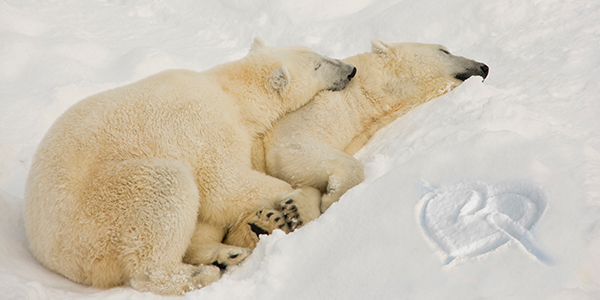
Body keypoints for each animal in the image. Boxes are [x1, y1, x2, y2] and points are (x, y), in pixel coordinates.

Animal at [25, 38, 356, 296]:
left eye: (316, 52)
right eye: (318, 65)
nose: (350, 70)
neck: (230, 93)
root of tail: (48, 251)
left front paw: (269, 216)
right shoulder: (207, 129)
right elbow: (225, 185)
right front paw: (297, 204)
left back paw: (228, 254)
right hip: (104, 207)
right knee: (165, 193)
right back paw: (200, 273)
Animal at [253, 40, 488, 216]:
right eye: (444, 50)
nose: (484, 67)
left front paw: (297, 208)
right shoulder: (312, 110)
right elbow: (293, 146)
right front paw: (329, 200)